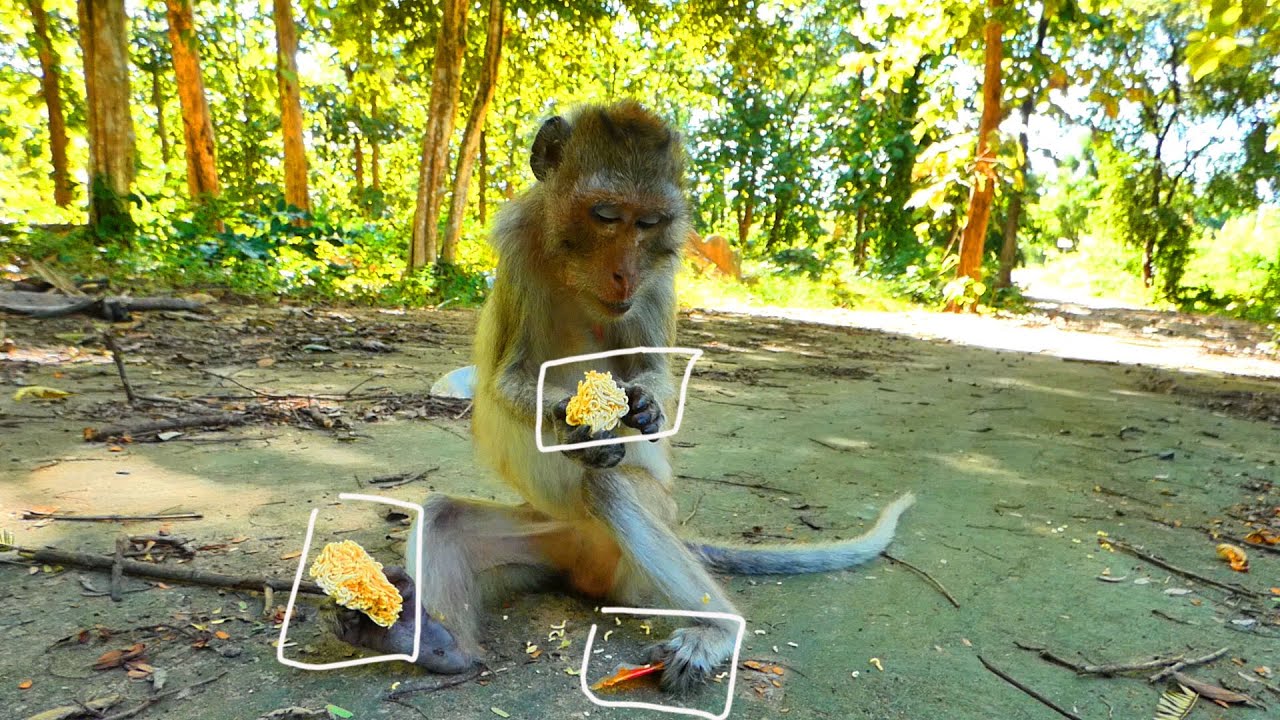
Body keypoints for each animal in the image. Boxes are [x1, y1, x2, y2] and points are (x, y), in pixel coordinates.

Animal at [329, 100, 916, 691]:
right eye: (607, 214)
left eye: (649, 223)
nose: (625, 272)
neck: (573, 274)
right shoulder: (518, 249)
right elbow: (506, 377)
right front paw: (570, 425)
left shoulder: (660, 277)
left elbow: (649, 369)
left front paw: (644, 407)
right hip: (548, 539)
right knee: (445, 516)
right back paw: (433, 643)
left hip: (654, 519)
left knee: (610, 491)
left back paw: (717, 629)